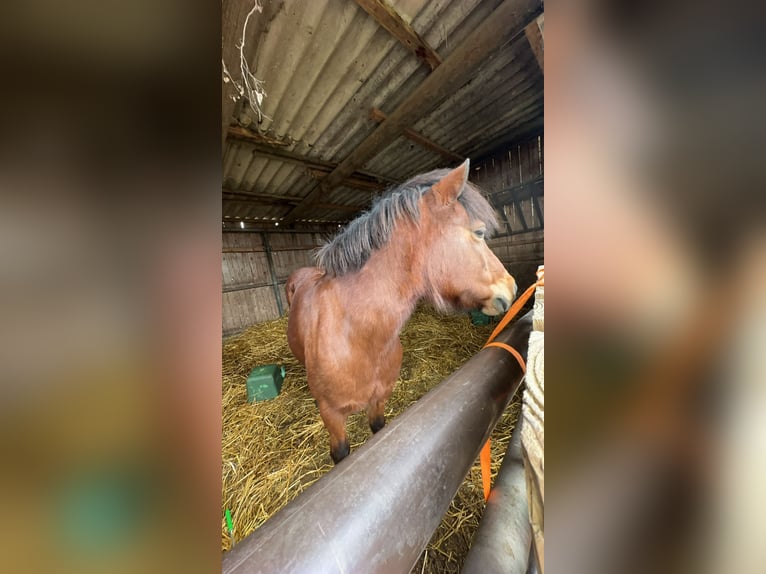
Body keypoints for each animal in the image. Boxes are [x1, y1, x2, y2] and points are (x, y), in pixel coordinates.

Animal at [286, 160, 516, 466]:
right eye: (478, 232)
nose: (512, 287)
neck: (357, 335)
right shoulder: (333, 417)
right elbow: (341, 453)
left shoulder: (380, 399)